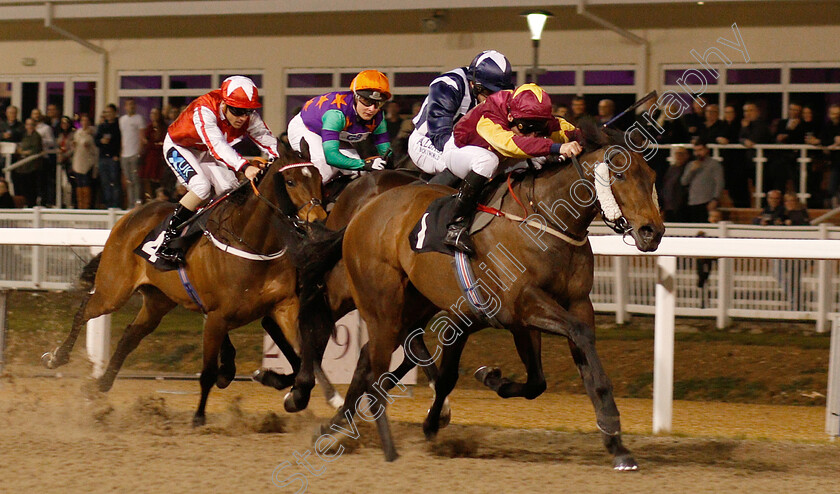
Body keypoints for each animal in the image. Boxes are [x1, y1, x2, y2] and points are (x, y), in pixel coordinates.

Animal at [41, 153, 332, 424]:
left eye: (319, 179)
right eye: (291, 181)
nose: (318, 219)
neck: (254, 243)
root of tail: (129, 216)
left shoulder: (284, 307)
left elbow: (305, 359)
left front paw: (286, 389)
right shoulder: (217, 317)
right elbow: (207, 372)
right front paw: (199, 415)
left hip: (158, 300)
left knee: (129, 336)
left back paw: (101, 384)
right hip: (113, 290)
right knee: (85, 310)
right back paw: (57, 357)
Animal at [328, 122, 664, 466]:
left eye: (651, 175)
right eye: (619, 174)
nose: (653, 232)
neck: (544, 220)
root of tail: (365, 208)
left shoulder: (559, 308)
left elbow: (544, 377)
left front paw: (617, 445)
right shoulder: (518, 304)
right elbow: (575, 335)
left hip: (410, 306)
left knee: (368, 355)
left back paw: (337, 428)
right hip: (377, 300)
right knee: (363, 348)